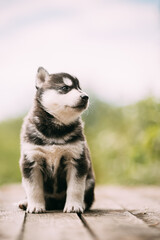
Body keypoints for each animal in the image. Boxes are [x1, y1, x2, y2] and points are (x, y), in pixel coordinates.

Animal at [18, 66, 95, 213]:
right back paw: (25, 202)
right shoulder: (31, 160)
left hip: (90, 181)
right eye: (65, 88)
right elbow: (34, 189)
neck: (56, 129)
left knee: (88, 198)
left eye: (79, 88)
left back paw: (82, 204)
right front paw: (35, 206)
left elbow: (76, 188)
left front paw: (73, 205)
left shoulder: (77, 160)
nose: (85, 96)